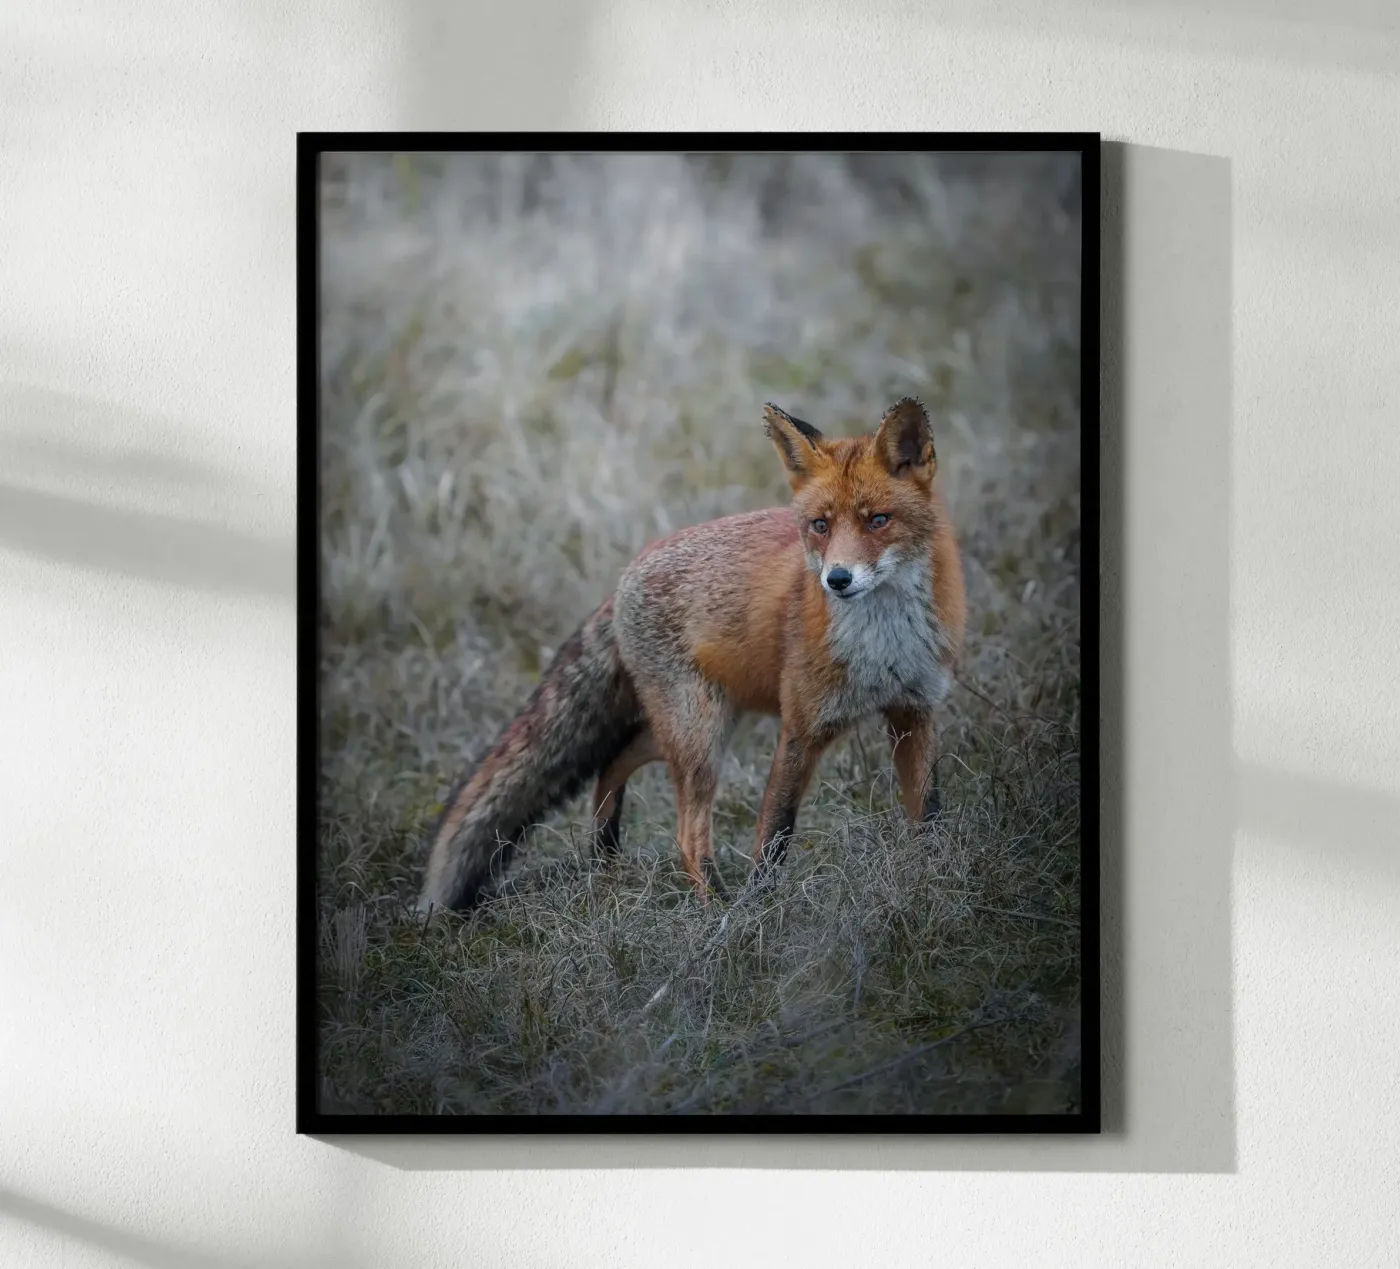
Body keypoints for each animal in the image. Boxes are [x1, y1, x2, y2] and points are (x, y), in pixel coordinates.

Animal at [418, 396, 967, 914]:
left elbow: (929, 814)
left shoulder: (914, 711)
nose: (837, 579)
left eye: (878, 521)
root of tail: (625, 576)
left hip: (702, 724)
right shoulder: (802, 726)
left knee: (614, 758)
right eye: (819, 526)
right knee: (685, 833)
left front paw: (932, 880)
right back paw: (714, 908)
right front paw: (756, 913)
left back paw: (606, 852)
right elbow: (774, 837)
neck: (882, 645)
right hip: (701, 733)